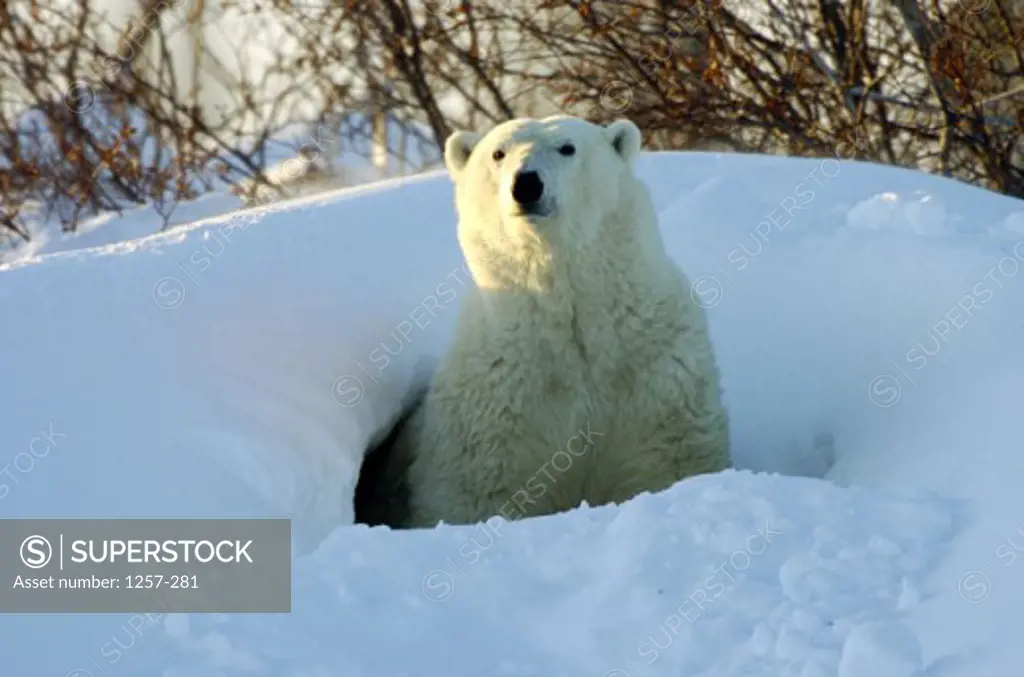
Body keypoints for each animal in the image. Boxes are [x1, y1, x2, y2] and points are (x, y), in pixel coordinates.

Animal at [389, 114, 729, 528]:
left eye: (567, 147)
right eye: (498, 152)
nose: (526, 183)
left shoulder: (655, 375)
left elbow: (665, 461)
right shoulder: (497, 401)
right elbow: (477, 491)